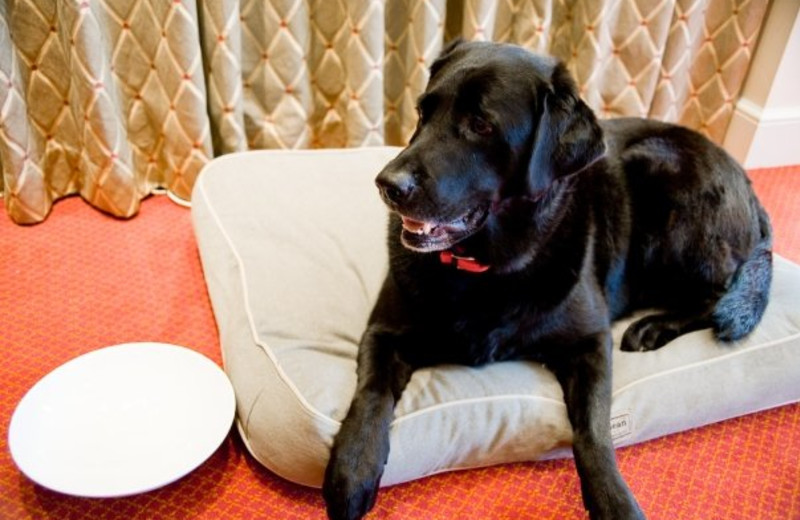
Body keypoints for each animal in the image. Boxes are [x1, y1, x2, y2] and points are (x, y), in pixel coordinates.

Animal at [322, 40, 772, 520]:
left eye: (481, 124)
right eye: (423, 112)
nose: (387, 184)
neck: (490, 267)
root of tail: (747, 182)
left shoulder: (591, 341)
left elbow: (594, 430)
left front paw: (615, 500)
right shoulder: (383, 331)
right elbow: (370, 394)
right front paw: (352, 469)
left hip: (661, 177)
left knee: (718, 292)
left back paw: (653, 326)